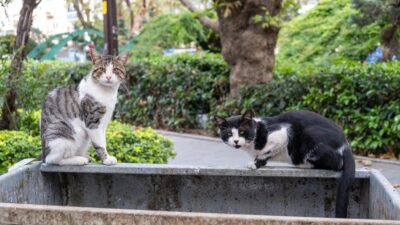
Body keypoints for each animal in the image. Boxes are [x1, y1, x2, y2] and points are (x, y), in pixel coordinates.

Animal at [214, 109, 354, 218]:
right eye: (229, 133)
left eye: (242, 131)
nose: (236, 141)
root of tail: (346, 144)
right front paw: (258, 161)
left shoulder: (282, 133)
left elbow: (266, 151)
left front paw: (255, 163)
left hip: (310, 135)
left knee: (337, 163)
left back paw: (304, 164)